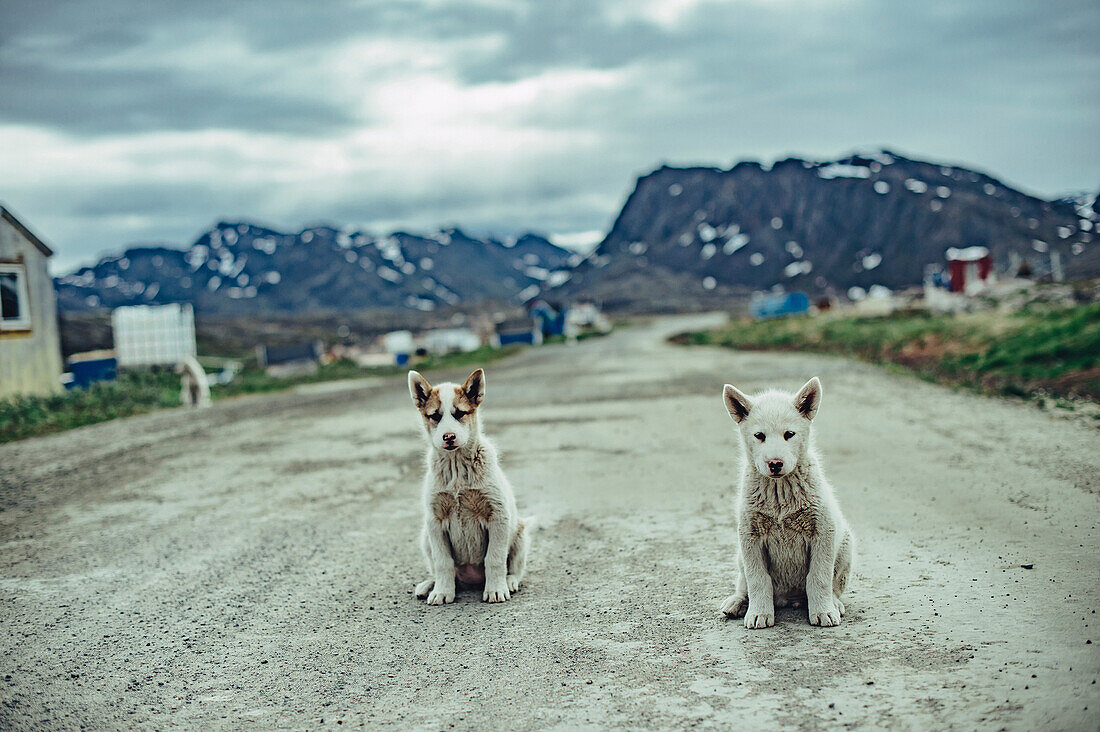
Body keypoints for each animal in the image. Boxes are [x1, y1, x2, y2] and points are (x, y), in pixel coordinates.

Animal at [409, 367, 528, 603]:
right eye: (435, 416)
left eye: (460, 414)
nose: (449, 437)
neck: (456, 470)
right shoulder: (435, 521)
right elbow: (443, 562)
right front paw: (442, 592)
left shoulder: (497, 515)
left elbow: (495, 558)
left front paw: (495, 590)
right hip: (425, 537)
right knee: (439, 569)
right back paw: (430, 584)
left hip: (520, 534)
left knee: (515, 569)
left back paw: (509, 581)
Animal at [717, 376, 853, 629]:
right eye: (759, 436)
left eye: (789, 434)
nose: (775, 463)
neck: (779, 493)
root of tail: (788, 599)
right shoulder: (749, 535)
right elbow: (757, 579)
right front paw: (759, 613)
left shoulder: (823, 531)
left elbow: (819, 577)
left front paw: (823, 611)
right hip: (740, 555)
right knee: (743, 582)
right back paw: (738, 602)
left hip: (846, 547)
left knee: (833, 586)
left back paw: (833, 603)